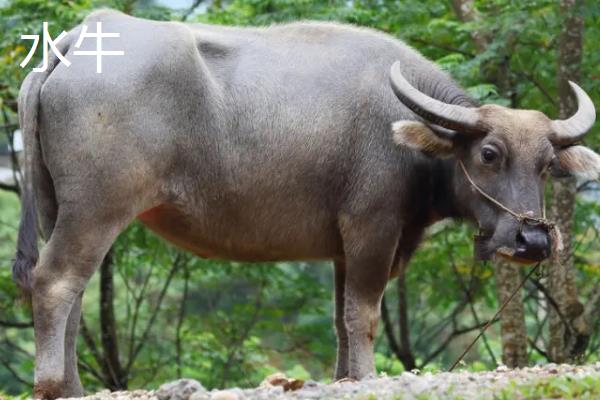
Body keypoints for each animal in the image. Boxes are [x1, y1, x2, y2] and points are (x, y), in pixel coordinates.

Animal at [14, 8, 600, 396]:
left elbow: (342, 318)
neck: (406, 138)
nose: (532, 239)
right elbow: (363, 313)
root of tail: (73, 43)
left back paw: (72, 384)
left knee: (73, 292)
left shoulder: (343, 247)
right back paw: (54, 385)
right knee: (55, 282)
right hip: (97, 209)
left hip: (63, 210)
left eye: (547, 164)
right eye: (489, 153)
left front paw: (344, 375)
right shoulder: (372, 229)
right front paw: (365, 376)